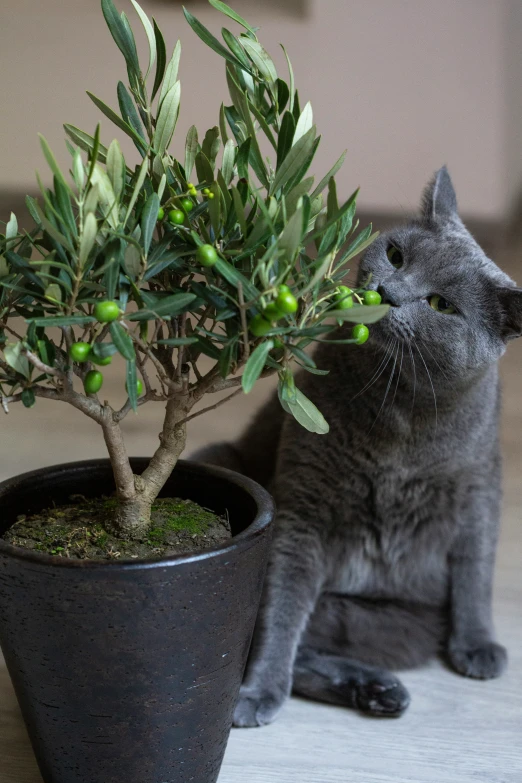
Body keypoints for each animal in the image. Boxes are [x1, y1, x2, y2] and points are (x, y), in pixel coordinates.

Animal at [197, 170, 516, 728]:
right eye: (395, 255)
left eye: (441, 305)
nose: (386, 291)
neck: (400, 411)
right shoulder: (302, 506)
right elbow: (280, 612)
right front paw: (259, 690)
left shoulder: (479, 488)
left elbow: (477, 569)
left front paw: (478, 645)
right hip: (222, 461)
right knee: (273, 638)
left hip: (399, 625)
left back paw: (380, 690)